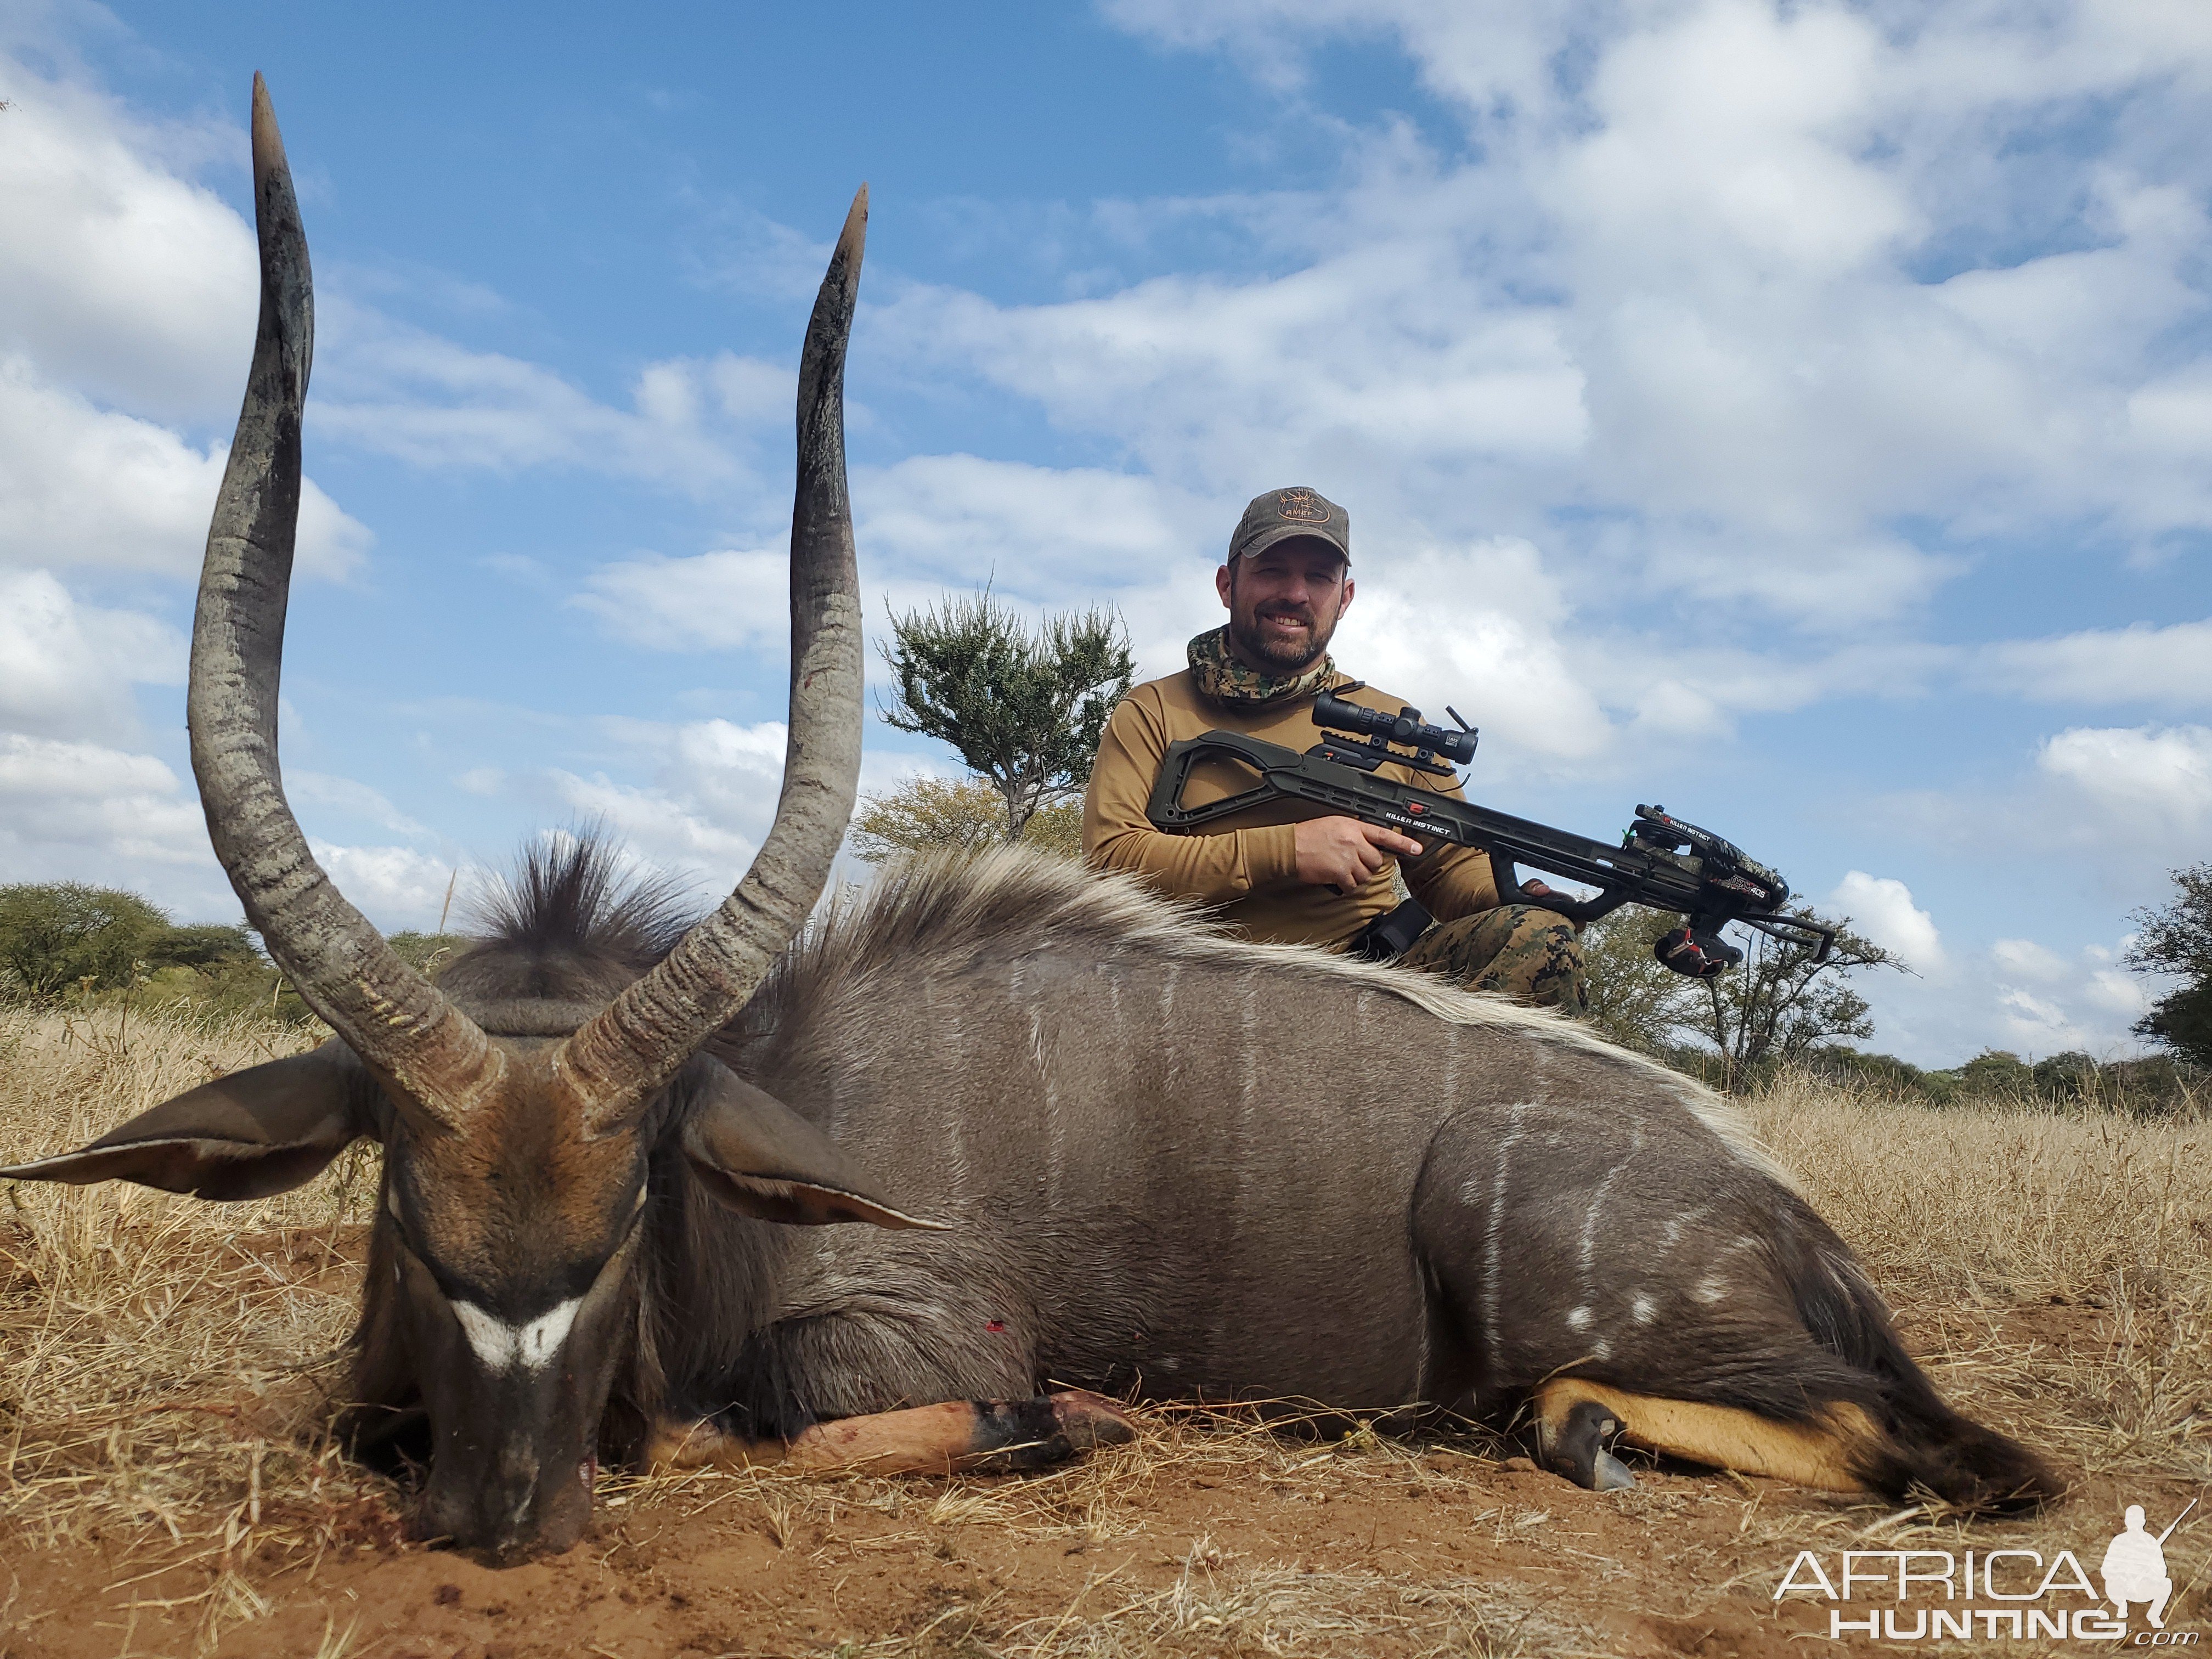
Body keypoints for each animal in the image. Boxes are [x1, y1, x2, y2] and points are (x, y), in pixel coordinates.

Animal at [0, 71, 2052, 1566]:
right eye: (410, 1217)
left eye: (637, 1197)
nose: (507, 1518)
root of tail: (1788, 1218)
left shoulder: (920, 1337)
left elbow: (804, 1429)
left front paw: (1062, 1424)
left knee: (1952, 1456)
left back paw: (1603, 1430)